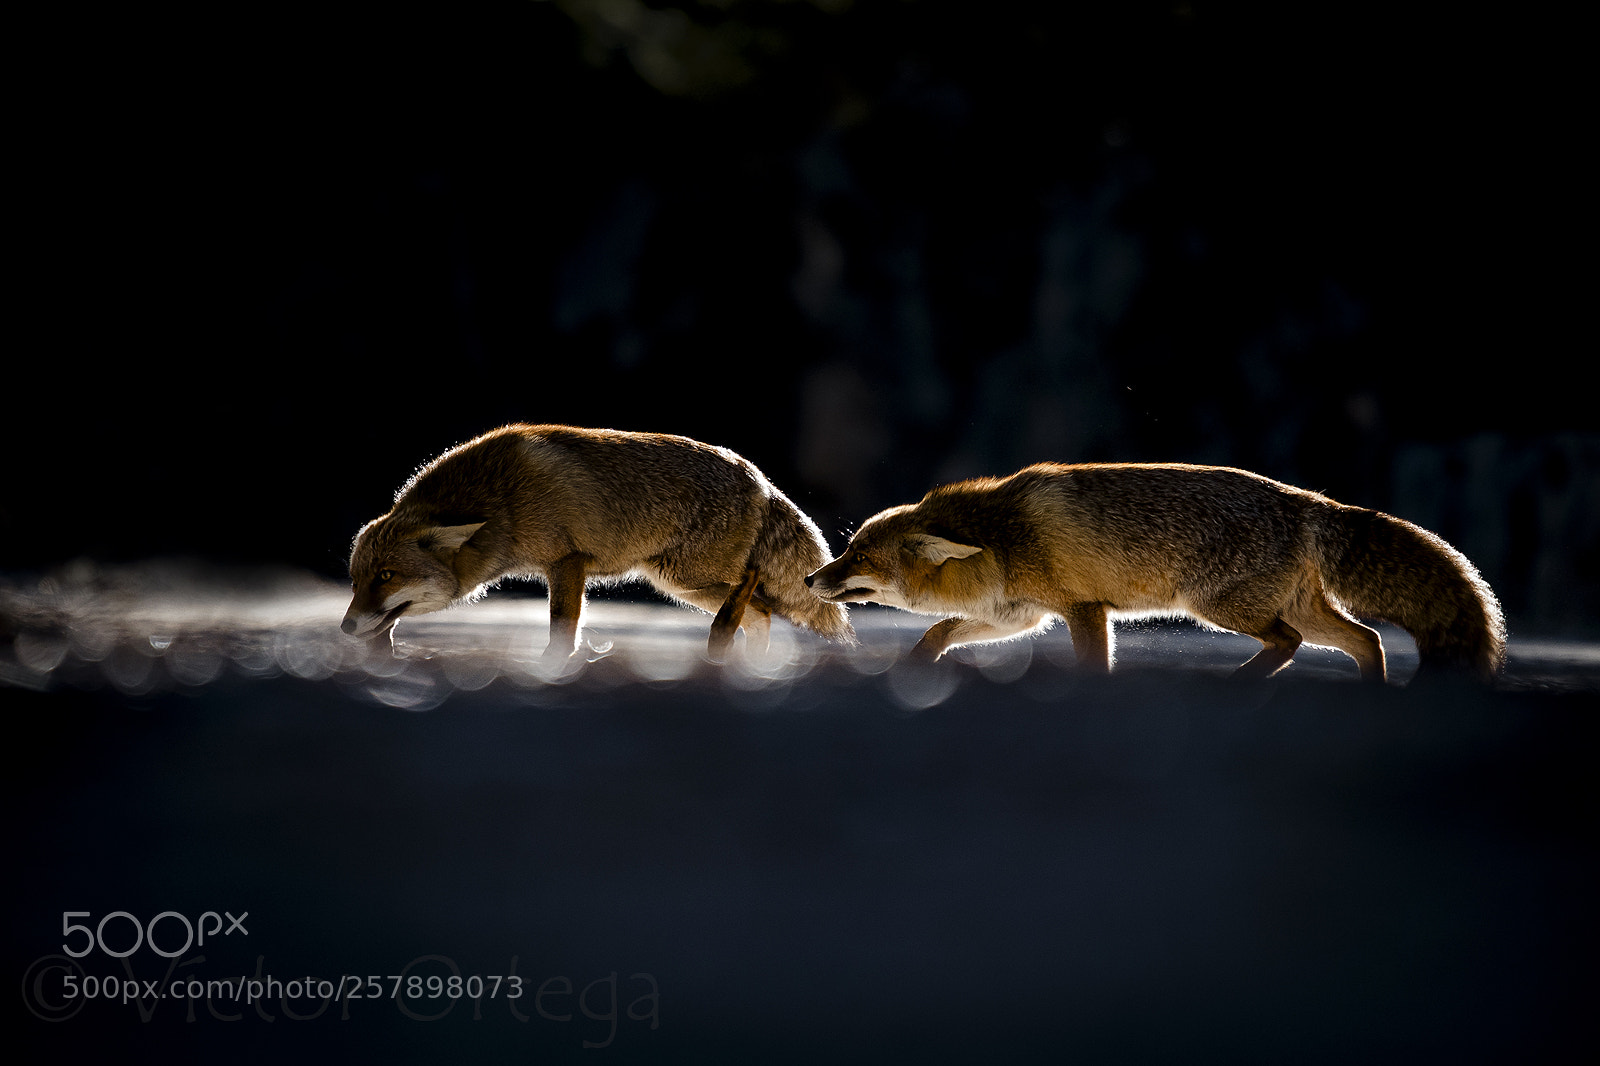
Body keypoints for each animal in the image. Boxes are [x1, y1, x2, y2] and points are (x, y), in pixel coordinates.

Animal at [341, 424, 855, 661]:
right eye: (356, 580)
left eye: (387, 575)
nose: (344, 627)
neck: (500, 500)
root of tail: (759, 478)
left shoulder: (566, 561)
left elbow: (561, 633)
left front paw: (551, 669)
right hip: (683, 586)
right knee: (761, 613)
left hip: (687, 578)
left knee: (753, 593)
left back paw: (724, 645)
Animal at [806, 463, 1506, 683]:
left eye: (858, 557)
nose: (814, 579)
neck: (1003, 539)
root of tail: (1306, 500)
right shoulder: (1021, 616)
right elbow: (939, 631)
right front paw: (914, 666)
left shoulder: (1082, 610)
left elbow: (1093, 666)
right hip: (1297, 610)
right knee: (1369, 641)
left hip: (1223, 610)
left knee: (1292, 644)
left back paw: (1232, 688)